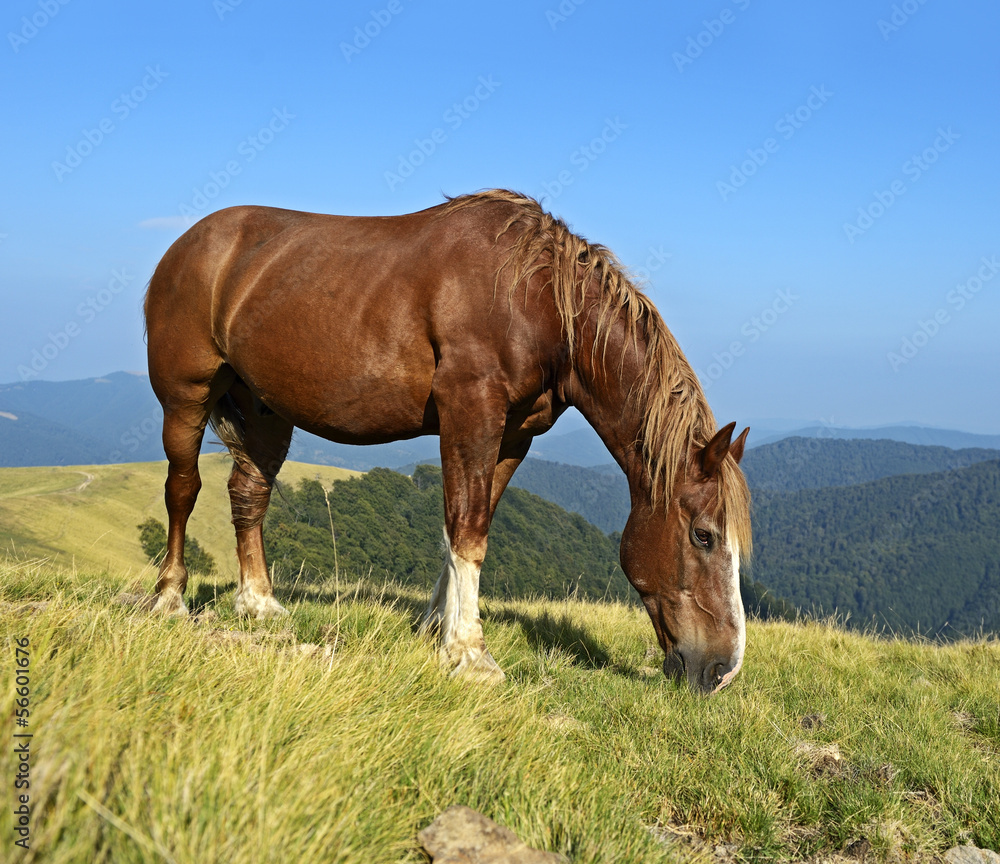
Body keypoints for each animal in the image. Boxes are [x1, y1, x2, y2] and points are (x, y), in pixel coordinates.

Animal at [144, 189, 752, 694]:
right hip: (186, 396)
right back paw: (169, 596)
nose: (723, 671)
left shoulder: (513, 434)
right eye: (702, 536)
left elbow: (465, 524)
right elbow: (468, 530)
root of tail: (186, 244)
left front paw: (437, 625)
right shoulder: (471, 411)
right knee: (183, 488)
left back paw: (259, 603)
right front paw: (469, 653)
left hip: (265, 409)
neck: (537, 298)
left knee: (249, 494)